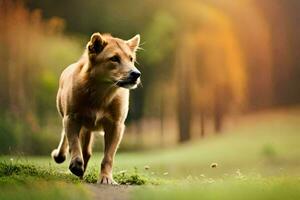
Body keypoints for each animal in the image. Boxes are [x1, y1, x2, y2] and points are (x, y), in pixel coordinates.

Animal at [51, 32, 141, 184]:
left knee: (87, 152)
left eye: (131, 59)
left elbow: (108, 156)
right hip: (69, 117)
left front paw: (106, 178)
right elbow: (74, 142)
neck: (102, 92)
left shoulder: (116, 125)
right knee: (68, 139)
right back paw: (63, 158)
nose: (136, 74)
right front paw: (76, 164)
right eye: (114, 58)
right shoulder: (71, 118)